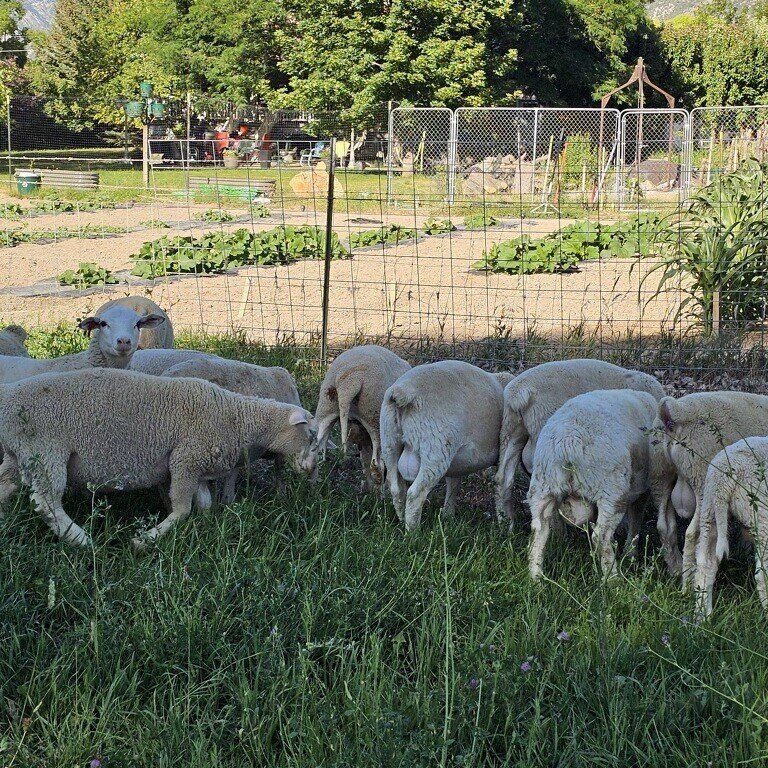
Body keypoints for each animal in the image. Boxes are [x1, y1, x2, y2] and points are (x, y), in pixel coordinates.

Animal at [0, 368, 318, 550]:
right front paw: (145, 540)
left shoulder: (196, 464)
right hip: (43, 450)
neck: (238, 417)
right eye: (312, 435)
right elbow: (182, 508)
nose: (311, 470)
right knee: (46, 503)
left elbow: (203, 503)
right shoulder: (186, 459)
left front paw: (206, 528)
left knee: (6, 485)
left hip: (20, 454)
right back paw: (81, 539)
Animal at [315, 345, 411, 489]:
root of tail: (350, 382)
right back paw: (379, 491)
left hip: (326, 408)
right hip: (375, 416)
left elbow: (364, 457)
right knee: (376, 464)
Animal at [380, 360, 505, 531]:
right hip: (436, 448)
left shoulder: (458, 460)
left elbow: (453, 484)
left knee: (396, 488)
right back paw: (412, 531)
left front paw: (448, 516)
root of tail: (403, 391)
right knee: (416, 493)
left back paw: (401, 520)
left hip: (389, 441)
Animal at [527, 389, 659, 581]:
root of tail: (568, 440)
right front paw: (631, 555)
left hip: (544, 484)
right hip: (611, 490)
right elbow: (636, 520)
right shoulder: (642, 490)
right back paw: (613, 579)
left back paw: (535, 577)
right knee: (601, 536)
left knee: (539, 529)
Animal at [654, 391, 768, 587]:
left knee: (664, 527)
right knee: (693, 535)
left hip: (661, 475)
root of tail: (674, 412)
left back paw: (676, 571)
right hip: (701, 480)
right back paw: (687, 585)